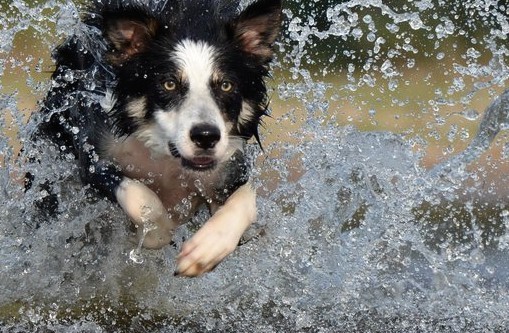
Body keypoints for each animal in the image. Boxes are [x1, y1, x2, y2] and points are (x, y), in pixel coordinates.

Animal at [32, 0, 282, 274]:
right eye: (169, 84)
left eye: (226, 85)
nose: (206, 136)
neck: (166, 156)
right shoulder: (94, 156)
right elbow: (143, 199)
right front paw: (152, 234)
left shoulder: (229, 167)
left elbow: (247, 198)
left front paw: (206, 249)